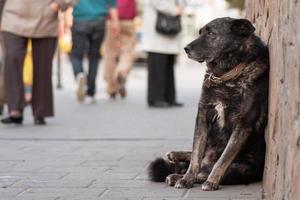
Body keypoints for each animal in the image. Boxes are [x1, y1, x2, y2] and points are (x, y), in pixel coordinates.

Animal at [149, 18, 268, 191]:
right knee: (199, 156)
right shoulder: (203, 116)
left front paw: (211, 181)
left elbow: (223, 159)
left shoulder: (243, 126)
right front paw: (186, 178)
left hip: (242, 169)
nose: (186, 48)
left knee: (208, 169)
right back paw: (176, 161)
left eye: (211, 33)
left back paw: (177, 174)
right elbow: (196, 154)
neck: (225, 76)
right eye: (200, 32)